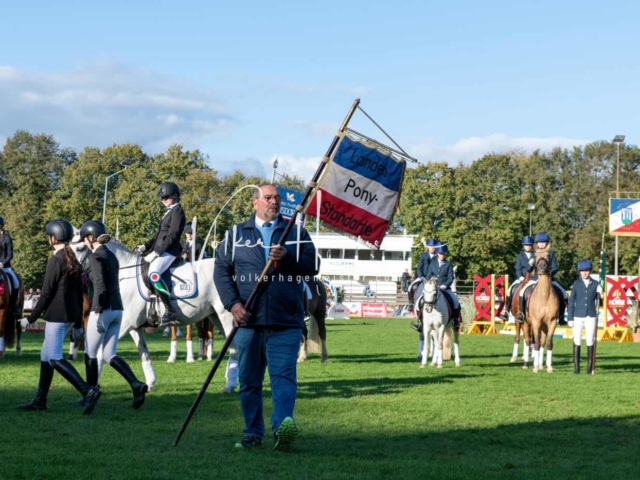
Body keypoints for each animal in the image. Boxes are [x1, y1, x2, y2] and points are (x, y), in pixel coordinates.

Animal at [70, 234, 239, 392]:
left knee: (235, 346)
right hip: (215, 316)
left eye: (80, 248)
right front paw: (150, 383)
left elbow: (99, 353)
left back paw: (230, 384)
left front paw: (91, 387)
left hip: (225, 316)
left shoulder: (124, 324)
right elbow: (144, 352)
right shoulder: (134, 326)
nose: (71, 271)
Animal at [524, 248, 560, 376]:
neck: (544, 295)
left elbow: (549, 343)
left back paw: (540, 365)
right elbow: (536, 343)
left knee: (542, 341)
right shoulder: (536, 322)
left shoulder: (552, 322)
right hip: (526, 324)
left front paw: (549, 367)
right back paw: (527, 364)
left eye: (548, 255)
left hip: (544, 326)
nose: (542, 266)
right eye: (535, 256)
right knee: (529, 341)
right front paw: (535, 368)